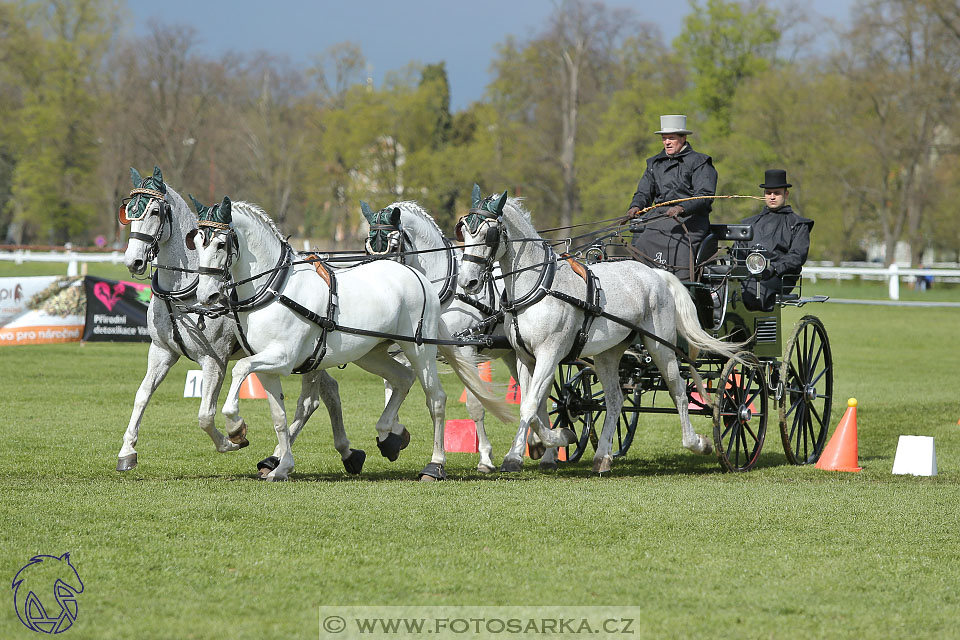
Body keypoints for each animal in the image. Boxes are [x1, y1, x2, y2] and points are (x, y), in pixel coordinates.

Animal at [117, 165, 364, 476]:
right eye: (128, 212)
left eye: (154, 211)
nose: (133, 261)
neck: (183, 289)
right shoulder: (161, 352)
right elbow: (142, 395)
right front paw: (127, 451)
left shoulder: (214, 360)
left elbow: (205, 414)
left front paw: (233, 438)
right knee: (328, 391)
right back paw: (343, 453)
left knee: (311, 401)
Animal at [454, 190, 748, 476]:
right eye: (464, 232)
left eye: (488, 234)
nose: (467, 282)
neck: (539, 286)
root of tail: (656, 273)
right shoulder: (525, 358)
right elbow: (533, 405)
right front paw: (548, 442)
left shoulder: (549, 354)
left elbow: (530, 406)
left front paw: (532, 449)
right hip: (608, 354)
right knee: (615, 399)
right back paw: (603, 456)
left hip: (661, 347)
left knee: (678, 392)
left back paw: (698, 442)